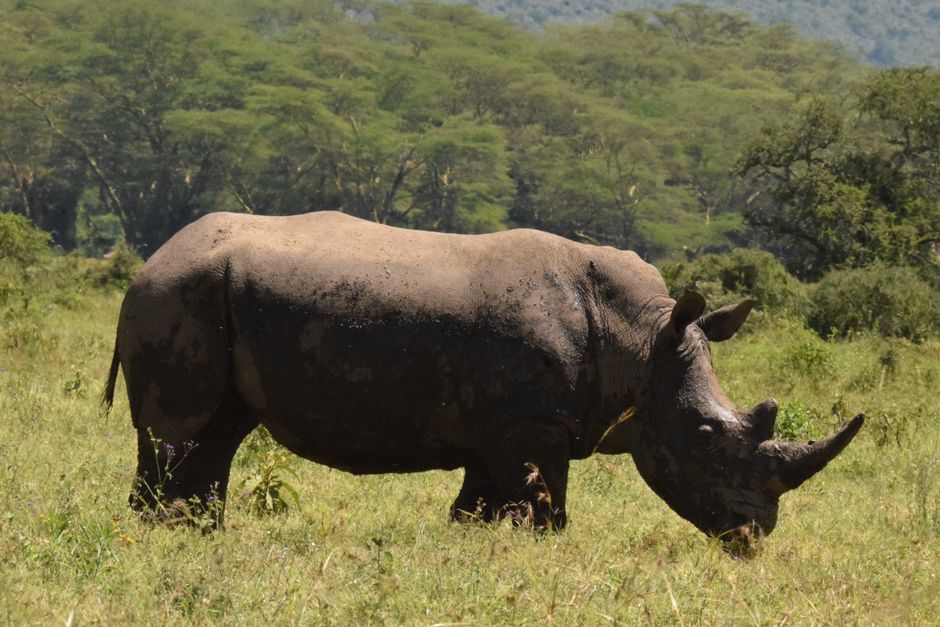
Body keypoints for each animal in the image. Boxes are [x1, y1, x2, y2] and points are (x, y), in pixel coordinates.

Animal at [103, 211, 863, 545]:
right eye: (705, 437)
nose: (752, 535)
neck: (642, 339)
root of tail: (150, 259)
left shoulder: (501, 425)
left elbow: (479, 506)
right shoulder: (532, 420)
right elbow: (544, 508)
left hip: (203, 295)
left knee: (220, 432)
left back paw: (198, 534)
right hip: (179, 295)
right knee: (179, 433)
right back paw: (161, 535)